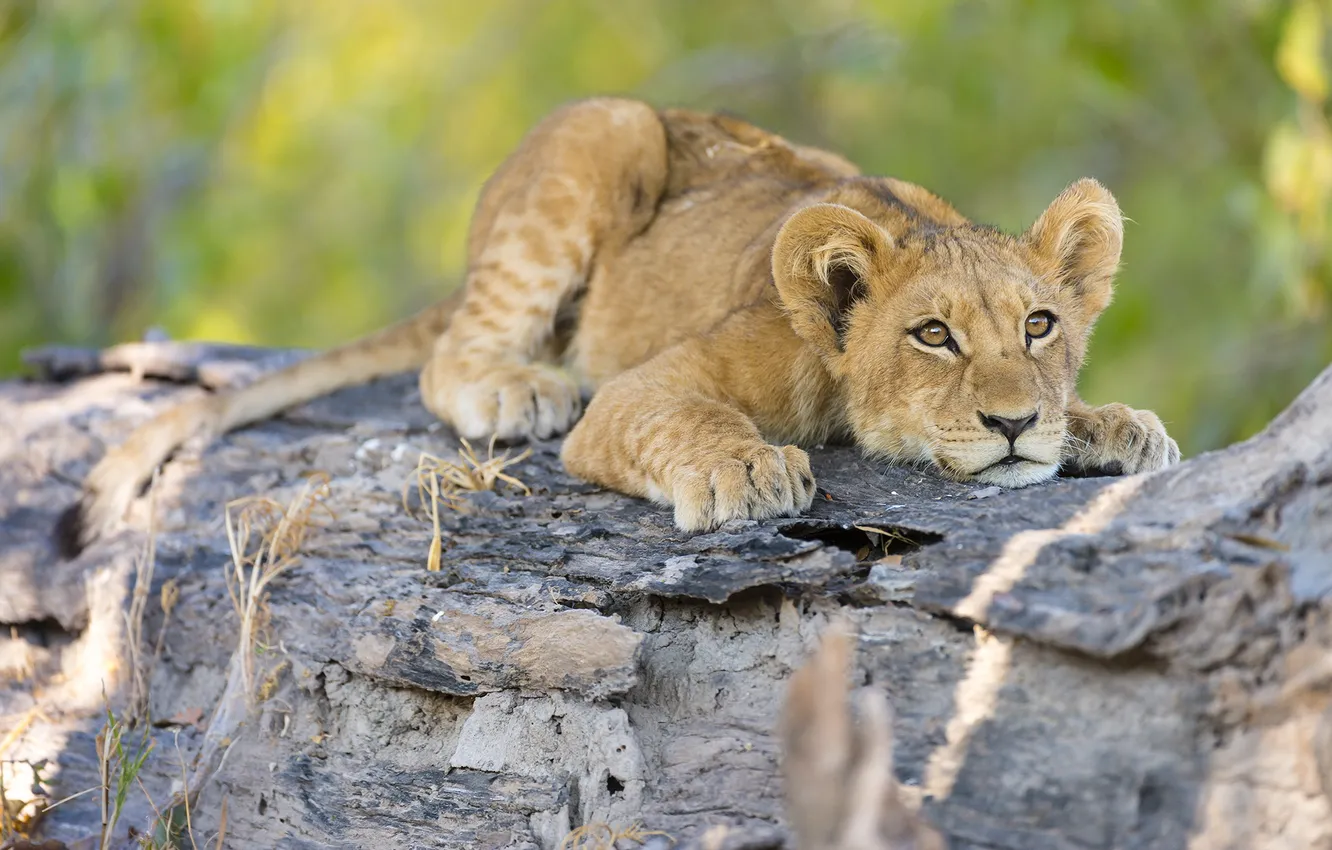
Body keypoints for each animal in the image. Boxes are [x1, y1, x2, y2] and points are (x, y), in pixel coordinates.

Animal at [57, 97, 1179, 555]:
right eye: (932, 336)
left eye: (1040, 326)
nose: (1013, 424)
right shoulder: (648, 388)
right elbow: (683, 418)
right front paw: (747, 471)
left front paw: (1114, 425)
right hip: (607, 134)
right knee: (452, 355)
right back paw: (515, 386)